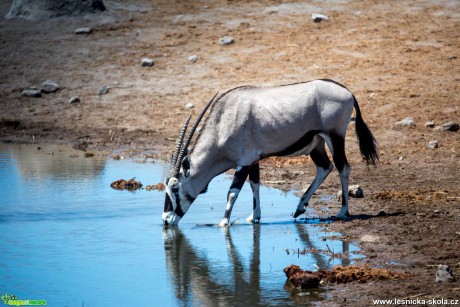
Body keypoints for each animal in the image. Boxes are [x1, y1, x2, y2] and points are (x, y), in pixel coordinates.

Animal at [162, 80, 378, 227]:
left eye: (175, 188)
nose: (166, 219)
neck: (222, 123)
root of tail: (347, 92)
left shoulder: (244, 162)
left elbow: (232, 192)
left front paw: (223, 222)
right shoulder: (252, 161)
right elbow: (255, 185)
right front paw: (254, 217)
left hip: (334, 137)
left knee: (343, 168)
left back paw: (342, 211)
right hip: (316, 144)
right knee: (325, 167)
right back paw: (300, 207)